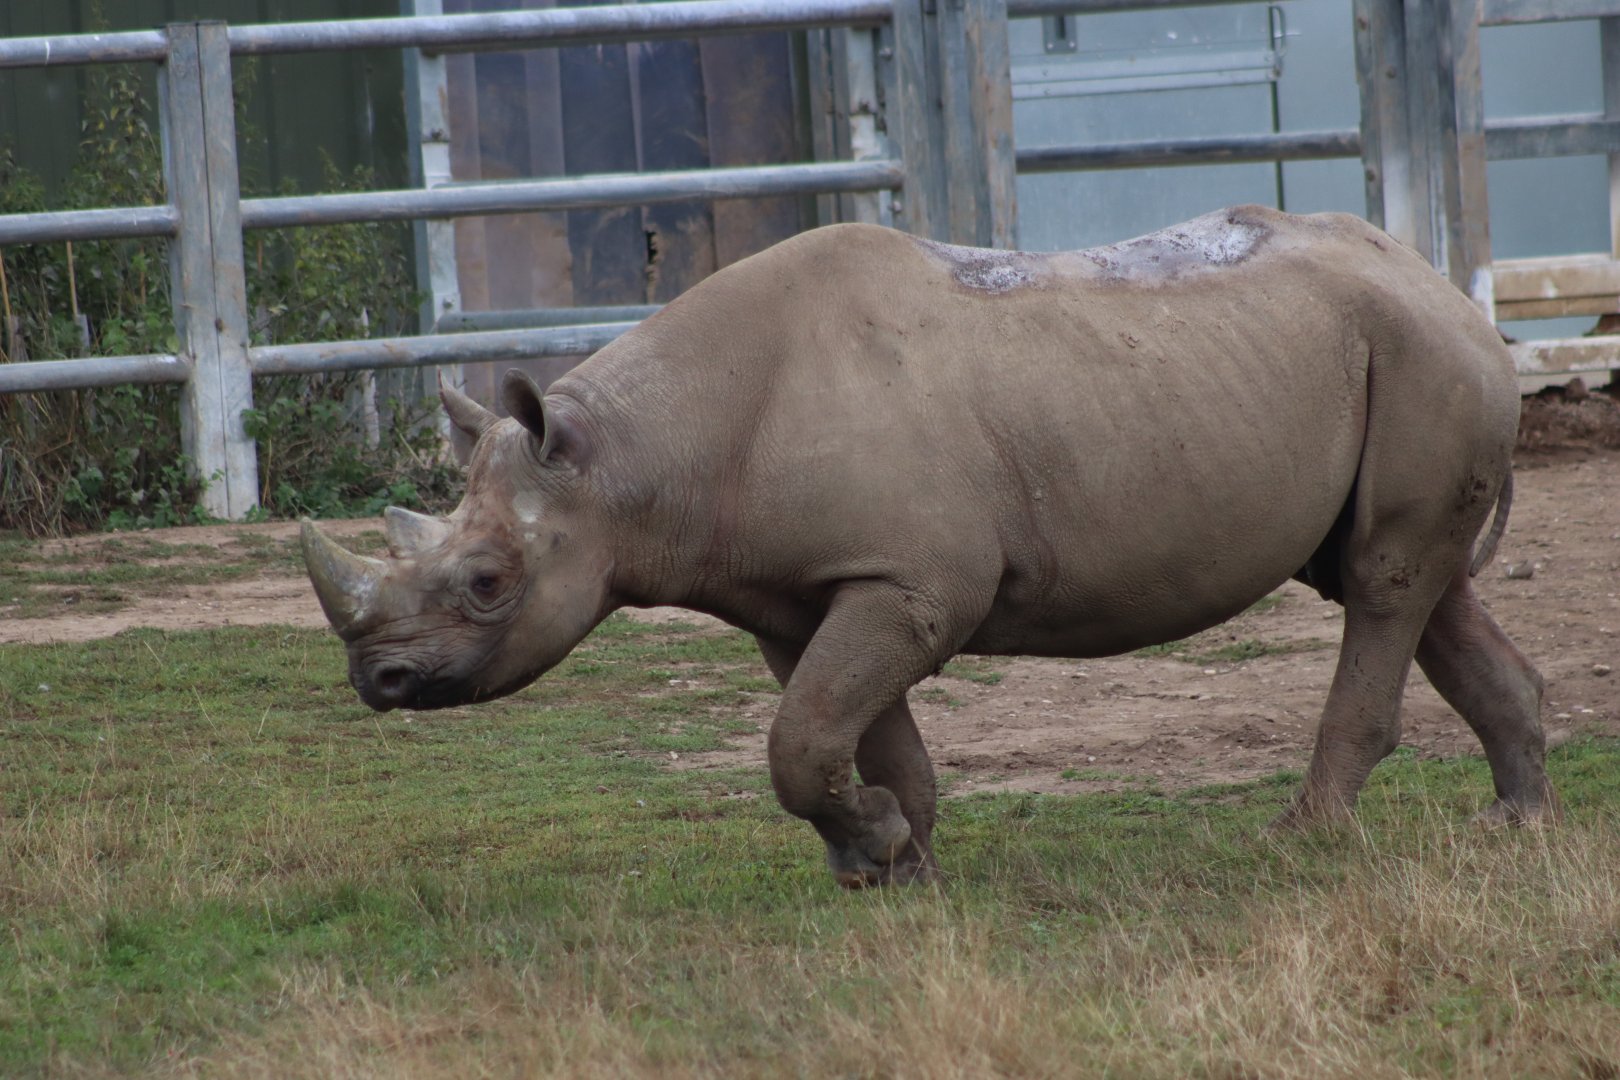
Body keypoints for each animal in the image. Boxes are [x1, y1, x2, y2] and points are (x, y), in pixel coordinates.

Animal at [303, 205, 1557, 887]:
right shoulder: (818, 590)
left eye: (486, 582)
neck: (625, 466)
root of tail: (1446, 285)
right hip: (1379, 353)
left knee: (1385, 582)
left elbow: (802, 738)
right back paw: (1513, 828)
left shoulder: (912, 583)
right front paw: (899, 865)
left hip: (1421, 354)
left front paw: (878, 853)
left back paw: (1298, 843)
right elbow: (848, 736)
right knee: (1403, 579)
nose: (379, 680)